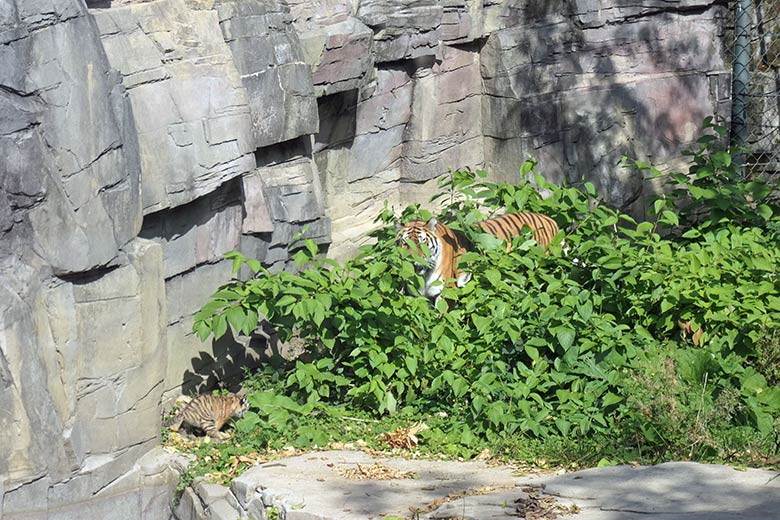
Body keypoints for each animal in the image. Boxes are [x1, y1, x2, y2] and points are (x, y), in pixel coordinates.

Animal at [397, 211, 560, 302]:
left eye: (423, 243)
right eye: (405, 243)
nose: (413, 261)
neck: (424, 276)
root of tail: (549, 219)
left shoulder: (447, 292)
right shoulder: (415, 296)